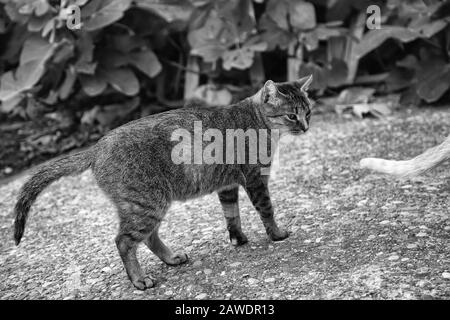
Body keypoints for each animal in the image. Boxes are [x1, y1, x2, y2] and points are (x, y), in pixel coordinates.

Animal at [11, 75, 312, 290]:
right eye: (291, 115)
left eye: (308, 112)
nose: (306, 127)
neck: (257, 120)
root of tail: (96, 147)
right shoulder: (255, 179)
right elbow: (267, 210)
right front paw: (277, 234)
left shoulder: (227, 187)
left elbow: (232, 215)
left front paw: (238, 239)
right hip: (147, 204)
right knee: (124, 241)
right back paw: (139, 280)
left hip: (148, 205)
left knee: (148, 237)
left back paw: (171, 258)